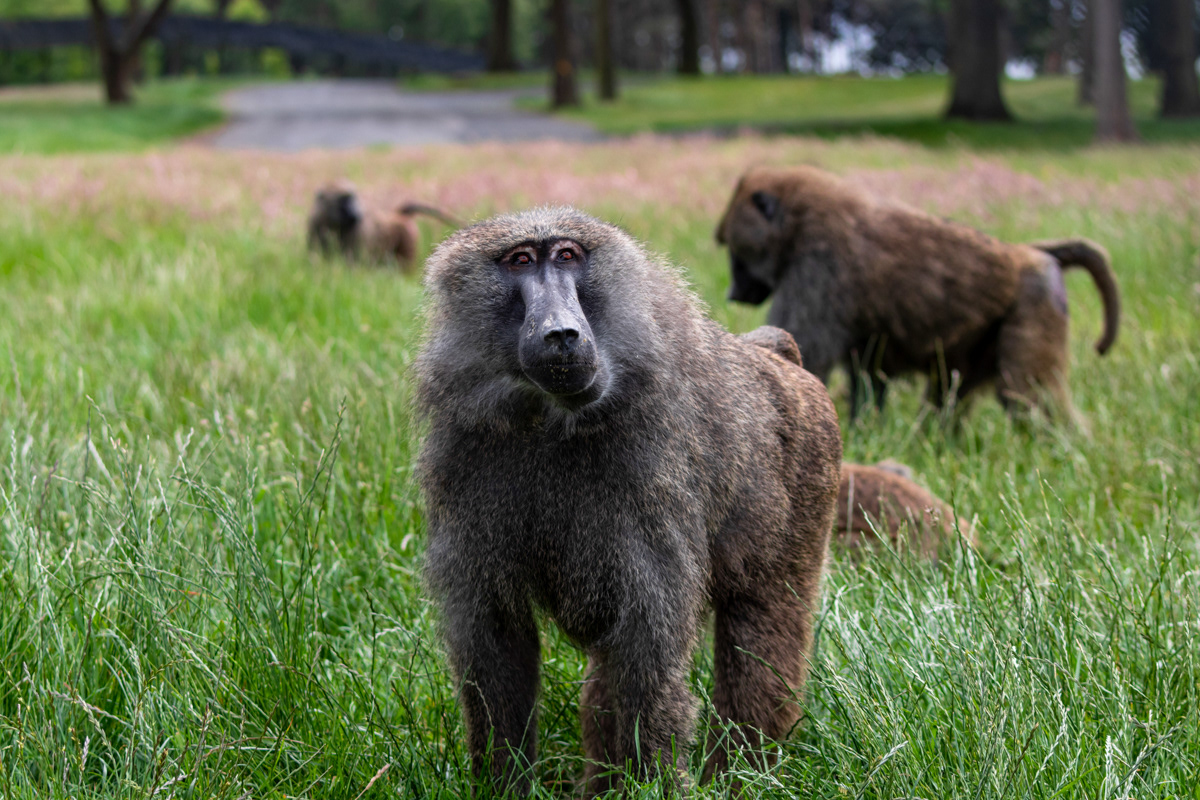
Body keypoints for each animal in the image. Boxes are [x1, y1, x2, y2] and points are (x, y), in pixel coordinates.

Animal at [306, 180, 459, 273]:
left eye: (352, 197)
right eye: (344, 200)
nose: (356, 213)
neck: (332, 224)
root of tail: (398, 215)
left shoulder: (358, 234)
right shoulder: (315, 225)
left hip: (407, 238)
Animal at [416, 208, 842, 796]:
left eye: (567, 256)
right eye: (520, 260)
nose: (562, 333)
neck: (550, 421)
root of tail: (771, 357)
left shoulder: (652, 476)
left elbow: (648, 650)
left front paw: (659, 783)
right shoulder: (464, 458)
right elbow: (497, 641)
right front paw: (502, 783)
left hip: (807, 477)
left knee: (763, 637)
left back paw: (742, 773)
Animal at [715, 165, 1121, 421]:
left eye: (734, 251)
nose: (733, 292)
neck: (798, 224)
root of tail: (1031, 255)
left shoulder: (816, 269)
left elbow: (807, 357)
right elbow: (868, 377)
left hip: (1033, 308)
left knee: (1028, 398)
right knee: (949, 394)